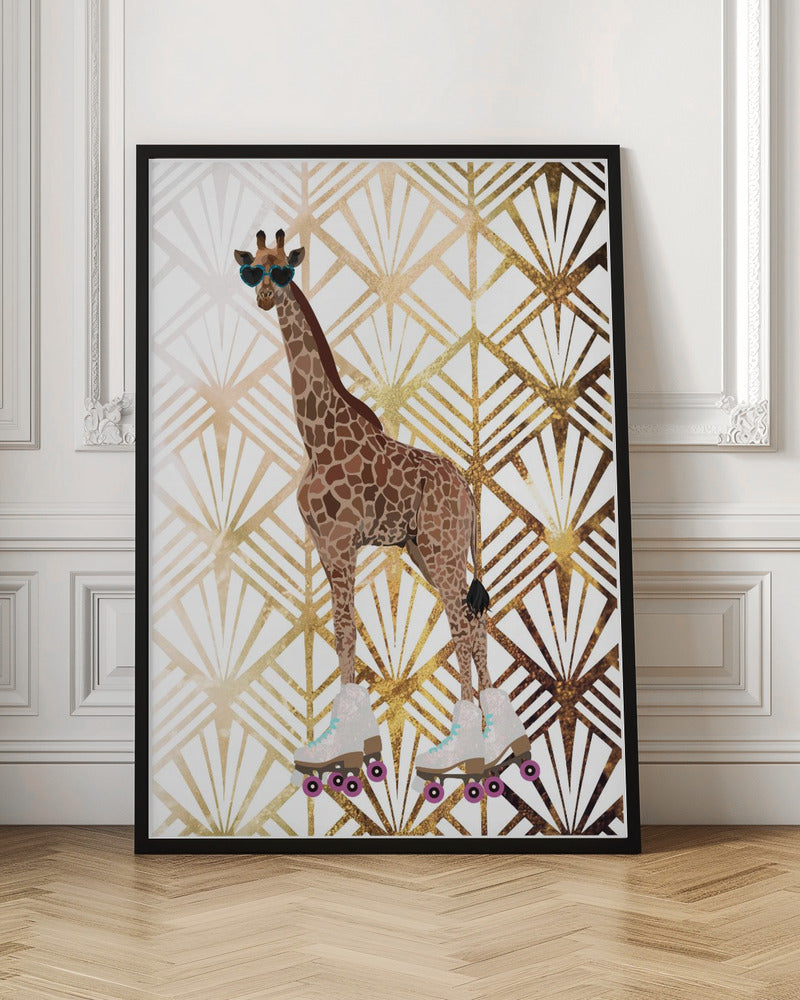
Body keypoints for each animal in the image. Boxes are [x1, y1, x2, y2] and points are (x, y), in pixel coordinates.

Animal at [235, 229, 532, 804]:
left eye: (283, 270)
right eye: (251, 270)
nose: (262, 297)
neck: (316, 437)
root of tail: (469, 490)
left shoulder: (340, 541)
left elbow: (345, 630)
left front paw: (347, 755)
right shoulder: (325, 545)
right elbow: (344, 629)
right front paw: (349, 745)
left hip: (441, 549)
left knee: (463, 625)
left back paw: (469, 755)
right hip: (426, 551)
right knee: (476, 619)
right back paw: (499, 745)